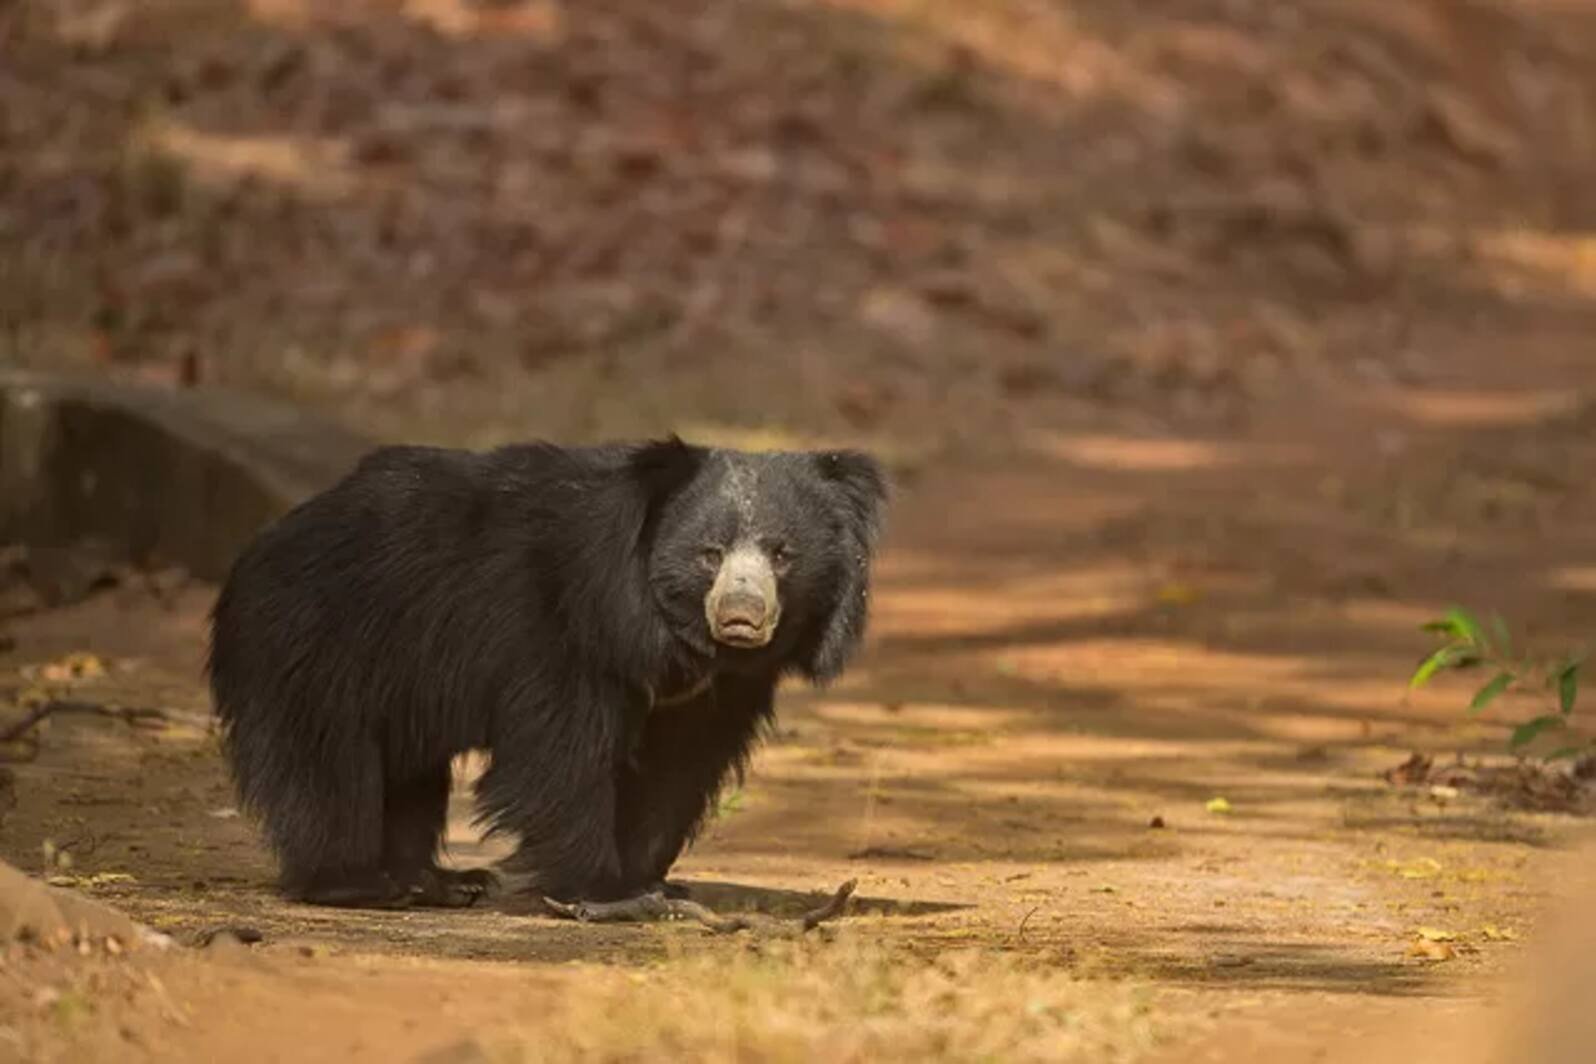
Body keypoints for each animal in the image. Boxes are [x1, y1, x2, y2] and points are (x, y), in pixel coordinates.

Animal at [202, 437, 887, 912]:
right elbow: (562, 752)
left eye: (782, 554)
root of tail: (263, 542)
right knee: (325, 762)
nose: (741, 615)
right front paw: (605, 893)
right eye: (709, 554)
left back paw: (440, 882)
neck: (671, 633)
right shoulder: (556, 627)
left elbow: (676, 768)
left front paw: (652, 883)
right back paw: (357, 882)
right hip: (316, 640)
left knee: (409, 775)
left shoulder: (714, 693)